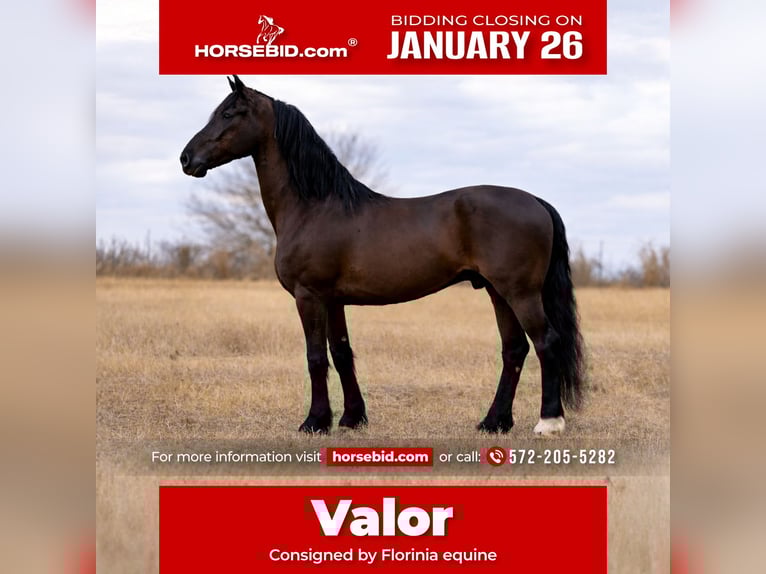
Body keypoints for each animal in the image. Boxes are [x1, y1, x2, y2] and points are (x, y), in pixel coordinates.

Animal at [180, 75, 585, 436]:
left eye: (229, 113)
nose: (186, 158)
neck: (315, 206)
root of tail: (536, 201)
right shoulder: (333, 300)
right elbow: (342, 354)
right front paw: (351, 418)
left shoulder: (309, 296)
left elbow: (316, 358)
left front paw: (314, 422)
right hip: (497, 292)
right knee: (514, 349)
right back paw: (494, 422)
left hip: (520, 293)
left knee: (546, 342)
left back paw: (549, 422)